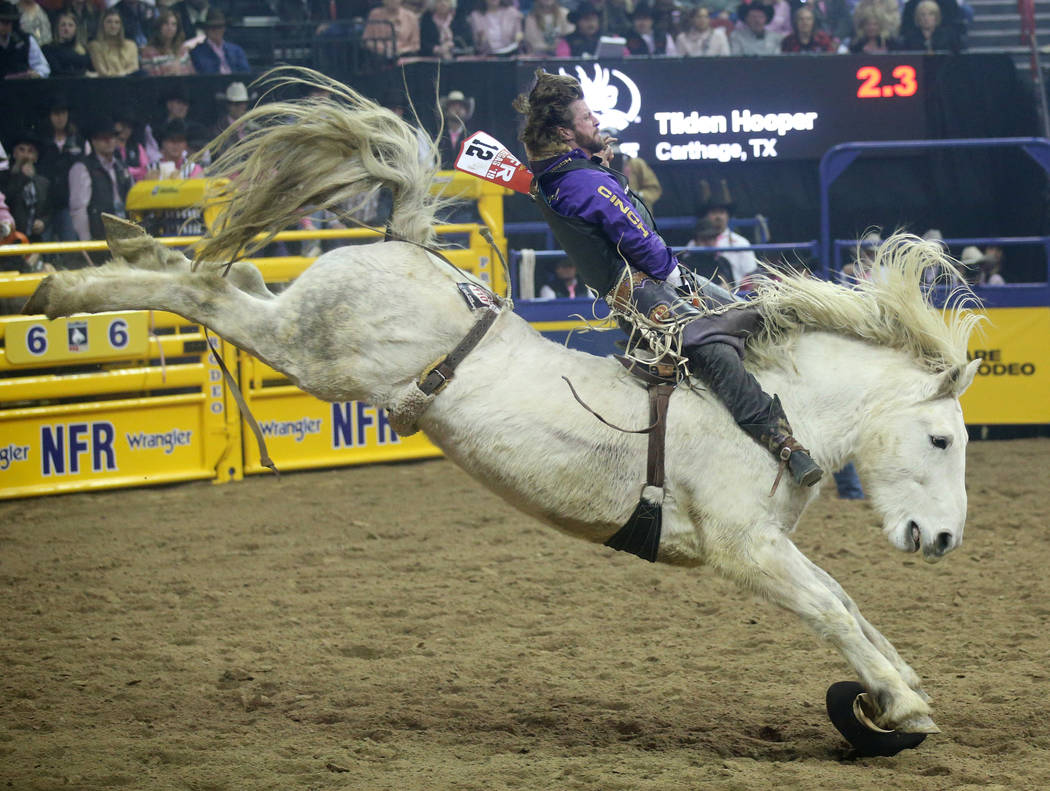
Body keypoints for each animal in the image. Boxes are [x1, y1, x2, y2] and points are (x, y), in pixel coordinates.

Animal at [22, 69, 982, 752]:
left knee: (235, 276)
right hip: (308, 348)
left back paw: (126, 244)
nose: (942, 539)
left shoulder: (774, 546)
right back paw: (65, 286)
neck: (777, 404)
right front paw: (898, 704)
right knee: (205, 293)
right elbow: (831, 608)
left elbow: (848, 602)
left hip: (302, 330)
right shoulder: (744, 549)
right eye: (940, 438)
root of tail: (405, 245)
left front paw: (897, 695)